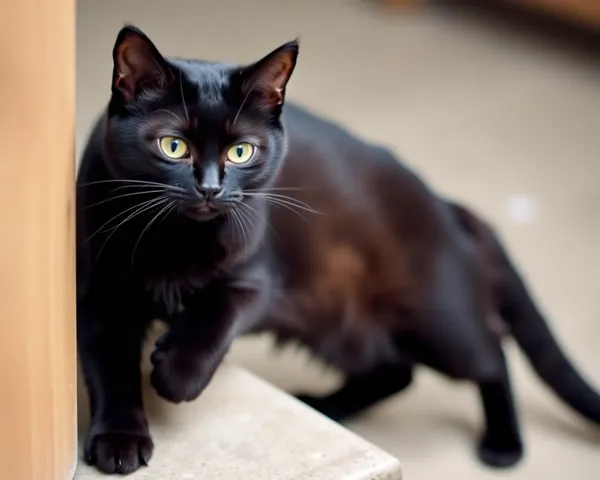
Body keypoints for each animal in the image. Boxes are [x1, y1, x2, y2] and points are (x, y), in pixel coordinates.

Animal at [78, 26, 600, 476]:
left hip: (436, 321)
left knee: (492, 353)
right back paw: (327, 406)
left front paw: (173, 373)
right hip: (335, 325)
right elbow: (111, 371)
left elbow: (214, 317)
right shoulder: (100, 297)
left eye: (241, 152)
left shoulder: (255, 279)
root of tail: (445, 204)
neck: (174, 240)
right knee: (396, 371)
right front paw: (119, 442)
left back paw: (504, 445)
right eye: (173, 146)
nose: (209, 189)